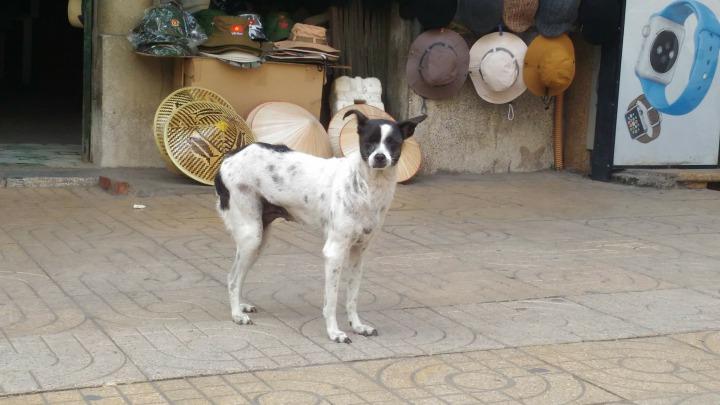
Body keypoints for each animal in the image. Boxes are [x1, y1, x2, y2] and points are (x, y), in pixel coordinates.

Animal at [217, 109, 424, 340]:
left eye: (393, 143)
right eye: (369, 142)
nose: (379, 157)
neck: (367, 187)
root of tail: (229, 156)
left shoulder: (358, 254)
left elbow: (352, 297)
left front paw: (357, 326)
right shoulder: (334, 252)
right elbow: (331, 300)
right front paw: (334, 332)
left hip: (259, 240)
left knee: (238, 276)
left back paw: (241, 306)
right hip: (252, 236)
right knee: (232, 278)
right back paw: (236, 314)